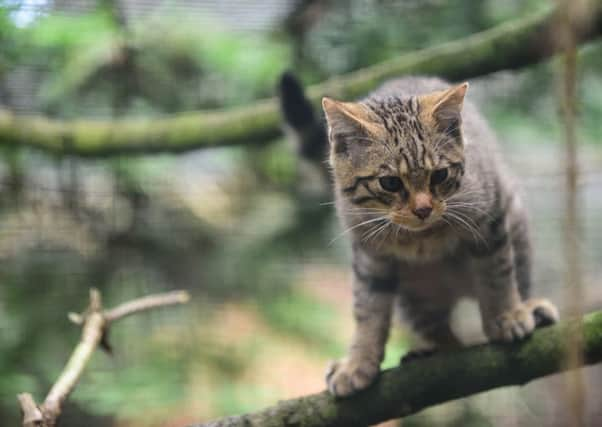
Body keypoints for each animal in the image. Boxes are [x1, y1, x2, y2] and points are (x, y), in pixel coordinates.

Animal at [318, 76, 556, 398]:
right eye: (390, 182)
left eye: (440, 175)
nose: (423, 209)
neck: (422, 236)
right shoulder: (369, 253)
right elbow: (367, 308)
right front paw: (358, 362)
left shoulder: (491, 218)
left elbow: (497, 274)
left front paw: (506, 315)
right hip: (413, 295)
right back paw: (437, 348)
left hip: (516, 221)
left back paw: (531, 309)